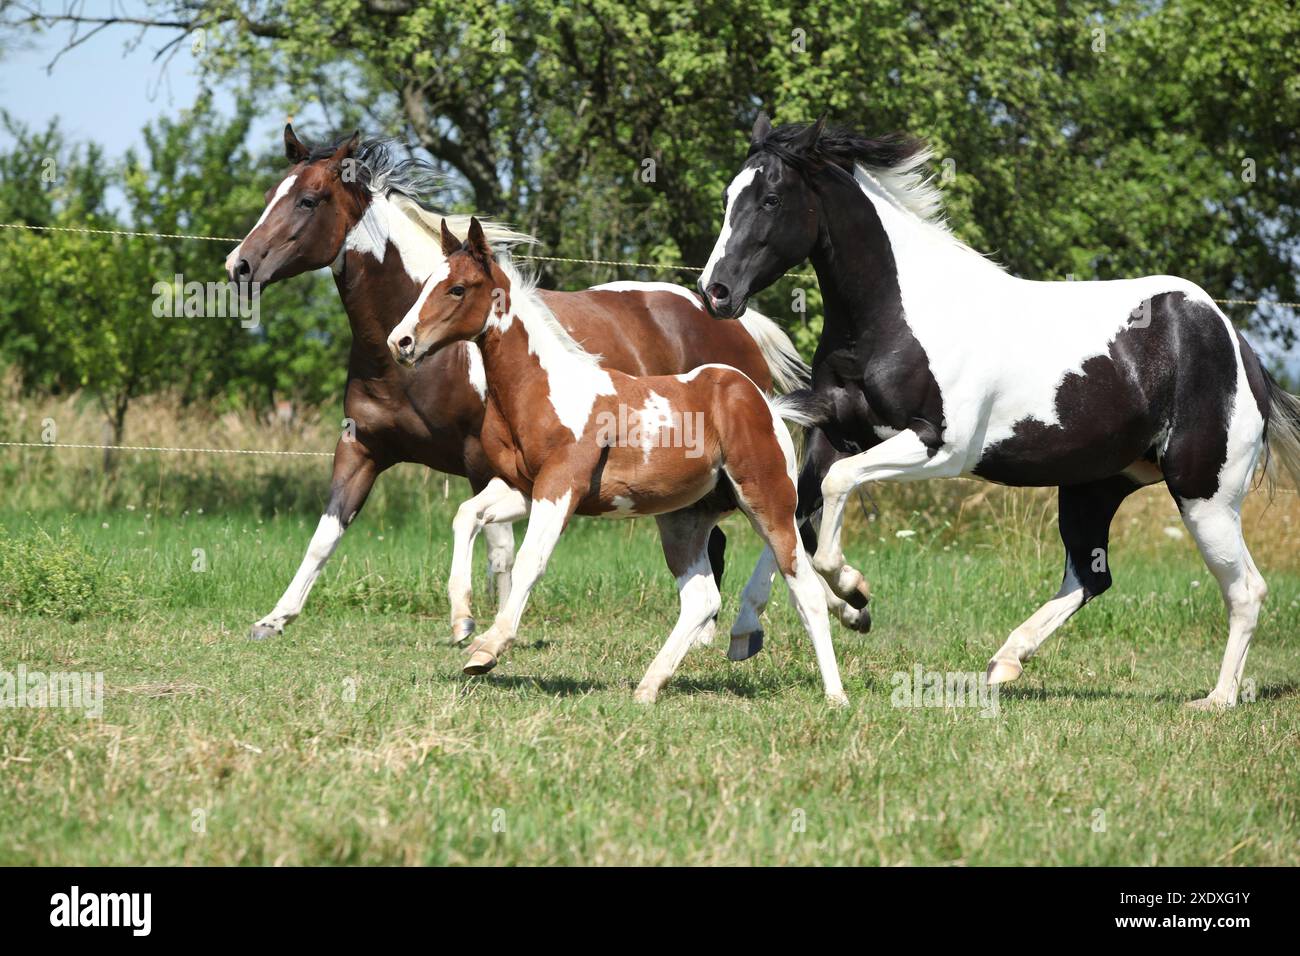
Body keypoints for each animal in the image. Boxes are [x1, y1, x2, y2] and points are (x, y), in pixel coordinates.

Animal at [220, 127, 852, 647]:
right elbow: (326, 534)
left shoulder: (482, 460)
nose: (240, 266)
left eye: (309, 200)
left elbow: (499, 547)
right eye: (273, 192)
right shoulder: (362, 447)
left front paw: (479, 626)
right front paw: (274, 619)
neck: (418, 362)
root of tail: (736, 320)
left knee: (776, 534)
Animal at [382, 221, 852, 707]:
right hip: (684, 519)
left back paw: (836, 695)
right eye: (427, 283)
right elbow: (466, 515)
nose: (400, 342)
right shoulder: (522, 488)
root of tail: (766, 404)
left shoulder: (560, 486)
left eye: (457, 288)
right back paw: (648, 686)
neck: (544, 387)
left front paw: (487, 649)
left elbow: (531, 559)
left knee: (804, 588)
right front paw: (461, 617)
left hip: (767, 502)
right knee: (701, 598)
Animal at [702, 113, 1300, 712]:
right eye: (728, 195)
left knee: (1246, 589)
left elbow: (833, 497)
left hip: (1205, 496)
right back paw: (1005, 661)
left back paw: (1216, 700)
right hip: (1095, 486)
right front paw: (766, 626)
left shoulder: (937, 447)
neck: (894, 318)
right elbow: (793, 521)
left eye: (772, 199)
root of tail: (1236, 343)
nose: (716, 292)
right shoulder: (834, 431)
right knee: (1091, 576)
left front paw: (853, 590)